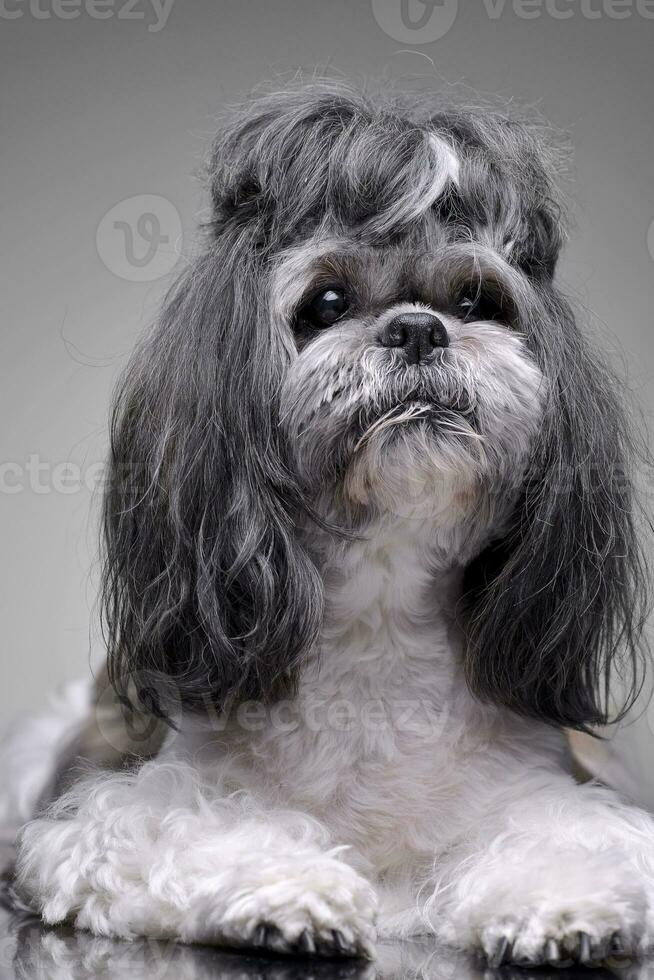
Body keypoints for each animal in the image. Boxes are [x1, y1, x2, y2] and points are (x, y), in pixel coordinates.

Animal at [2, 82, 652, 964]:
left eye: (477, 302)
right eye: (328, 303)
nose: (418, 328)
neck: (379, 623)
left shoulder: (559, 787)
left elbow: (570, 837)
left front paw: (562, 903)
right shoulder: (105, 813)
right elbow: (197, 827)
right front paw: (290, 894)